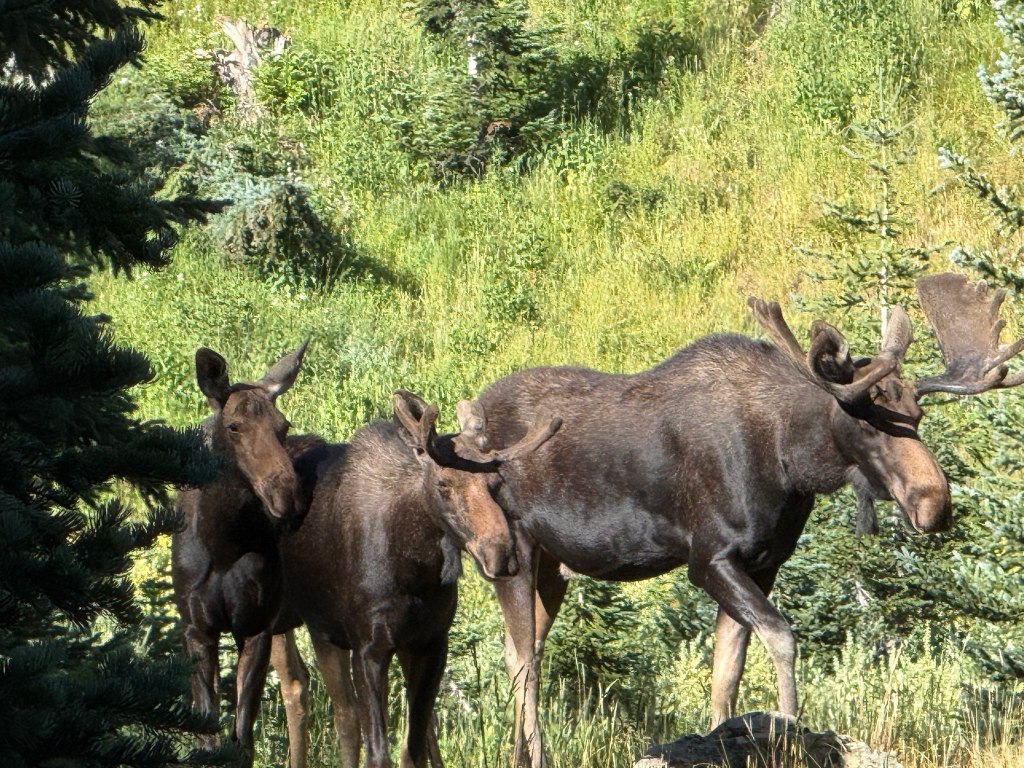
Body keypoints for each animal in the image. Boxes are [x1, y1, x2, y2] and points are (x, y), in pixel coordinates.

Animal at [449, 273, 1024, 767]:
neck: (790, 464)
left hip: (552, 567)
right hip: (512, 552)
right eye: (866, 422)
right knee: (525, 660)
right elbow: (782, 637)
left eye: (917, 416)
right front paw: (792, 733)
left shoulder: (763, 563)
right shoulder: (710, 559)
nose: (934, 502)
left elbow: (727, 673)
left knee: (518, 651)